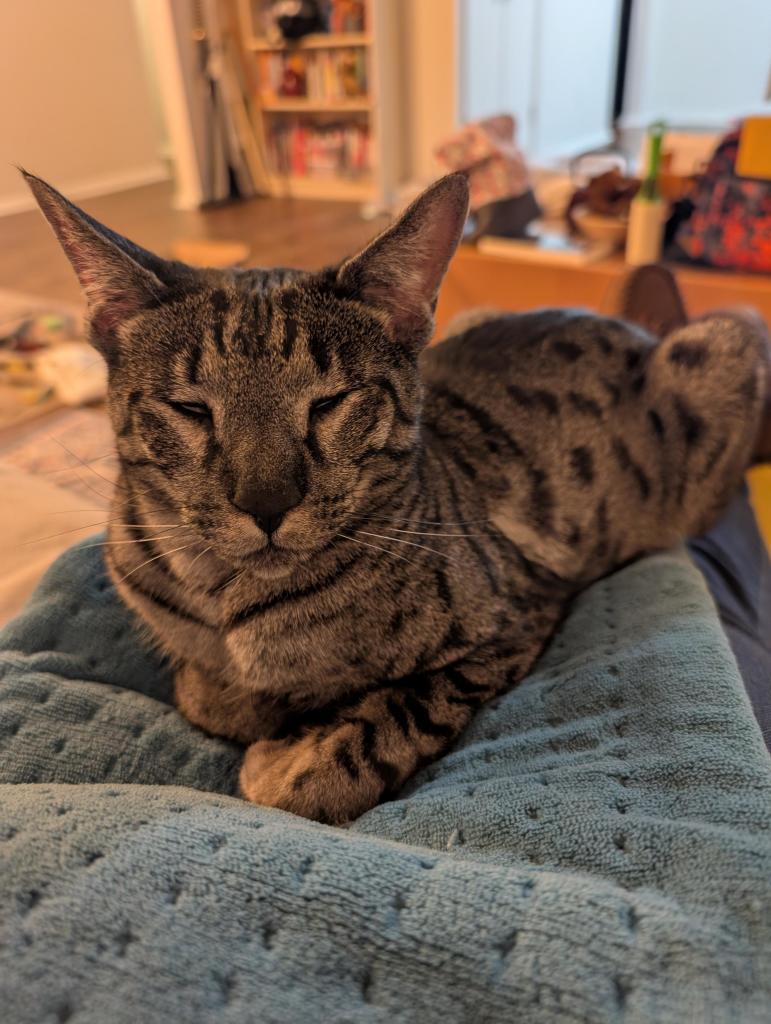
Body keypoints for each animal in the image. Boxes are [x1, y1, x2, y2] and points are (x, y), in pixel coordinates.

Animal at [24, 167, 769, 823]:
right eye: (191, 409)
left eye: (329, 403)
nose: (265, 505)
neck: (228, 603)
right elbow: (206, 693)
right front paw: (248, 701)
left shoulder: (519, 614)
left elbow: (393, 717)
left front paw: (294, 757)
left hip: (721, 347)